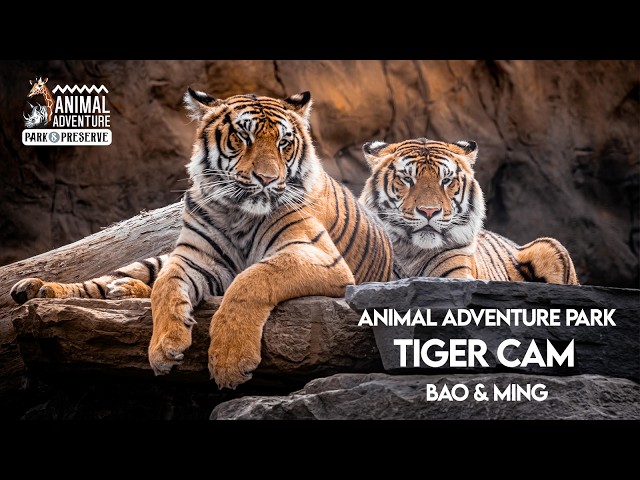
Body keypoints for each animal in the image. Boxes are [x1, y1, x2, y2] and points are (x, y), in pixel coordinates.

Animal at [10, 89, 395, 389]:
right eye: (243, 137)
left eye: (284, 143)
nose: (268, 179)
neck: (239, 213)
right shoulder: (194, 258)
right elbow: (166, 286)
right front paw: (164, 347)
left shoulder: (319, 256)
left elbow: (252, 279)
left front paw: (228, 361)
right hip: (150, 260)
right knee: (109, 281)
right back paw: (39, 289)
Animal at [358, 137, 579, 285]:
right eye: (407, 179)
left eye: (446, 180)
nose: (429, 211)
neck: (411, 254)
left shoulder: (456, 276)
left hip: (550, 245)